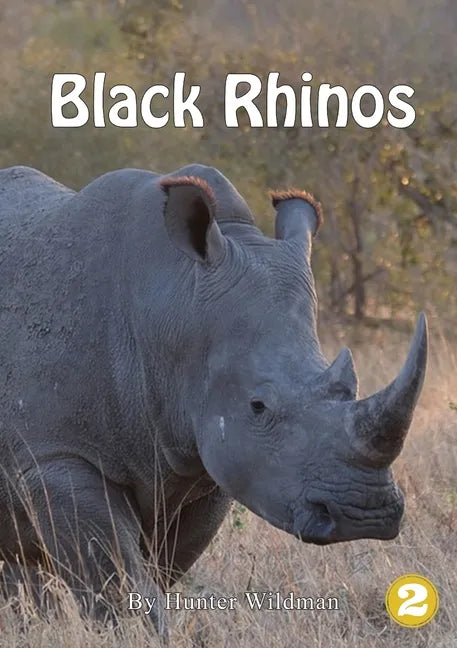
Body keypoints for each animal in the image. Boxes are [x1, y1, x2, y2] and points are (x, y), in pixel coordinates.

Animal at [0, 164, 427, 638]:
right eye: (258, 406)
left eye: (348, 388)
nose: (365, 513)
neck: (170, 302)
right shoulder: (56, 457)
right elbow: (119, 580)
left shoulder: (201, 465)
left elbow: (156, 571)